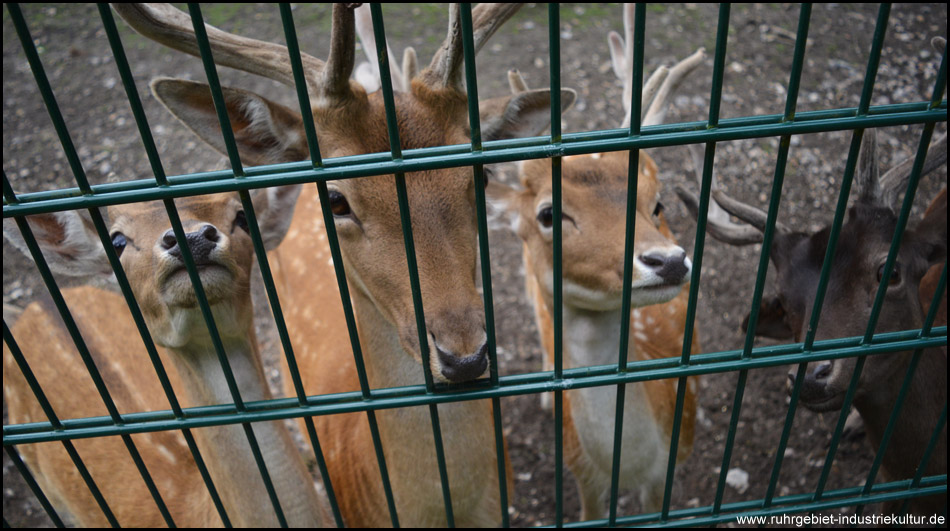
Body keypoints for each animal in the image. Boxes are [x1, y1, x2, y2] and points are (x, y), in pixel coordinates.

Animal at [488, 3, 704, 520]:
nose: (668, 261)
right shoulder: (579, 471)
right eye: (549, 214)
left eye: (657, 204)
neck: (627, 465)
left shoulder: (674, 459)